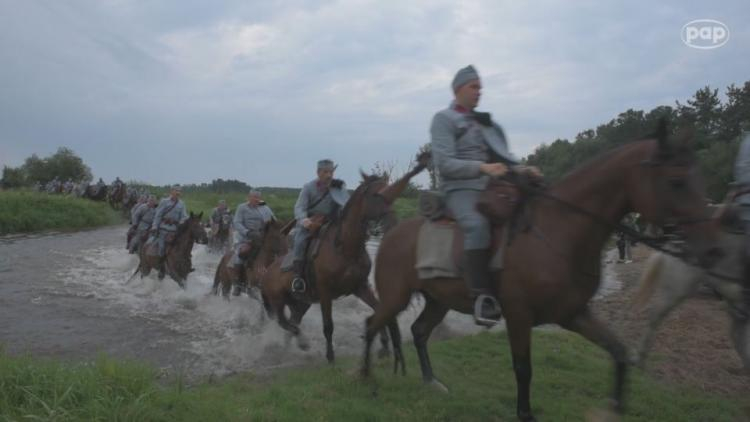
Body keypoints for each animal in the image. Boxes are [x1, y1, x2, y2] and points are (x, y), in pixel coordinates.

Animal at [262, 157, 428, 362]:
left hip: (300, 303)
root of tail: (267, 272)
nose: (392, 223)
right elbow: (328, 325)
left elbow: (378, 309)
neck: (346, 249)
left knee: (292, 322)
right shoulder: (325, 292)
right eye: (376, 195)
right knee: (284, 322)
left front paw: (383, 347)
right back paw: (302, 343)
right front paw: (330, 356)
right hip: (278, 303)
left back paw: (293, 346)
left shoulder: (360, 286)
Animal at [362, 127, 724, 420]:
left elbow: (618, 351)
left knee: (419, 332)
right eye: (676, 181)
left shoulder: (574, 314)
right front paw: (525, 414)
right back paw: (366, 379)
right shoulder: (519, 315)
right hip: (395, 297)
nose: (713, 250)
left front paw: (614, 407)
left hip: (438, 300)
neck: (557, 232)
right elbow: (524, 369)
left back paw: (430, 382)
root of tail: (391, 233)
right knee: (372, 325)